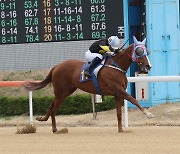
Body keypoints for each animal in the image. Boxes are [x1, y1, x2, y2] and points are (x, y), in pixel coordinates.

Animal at [23, 39, 154, 132]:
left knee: (52, 106)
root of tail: (55, 67)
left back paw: (47, 123)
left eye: (147, 51)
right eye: (139, 51)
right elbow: (133, 100)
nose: (148, 66)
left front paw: (121, 130)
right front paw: (148, 113)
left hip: (67, 91)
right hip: (61, 91)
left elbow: (119, 113)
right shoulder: (118, 90)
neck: (116, 66)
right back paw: (53, 128)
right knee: (53, 107)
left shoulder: (117, 94)